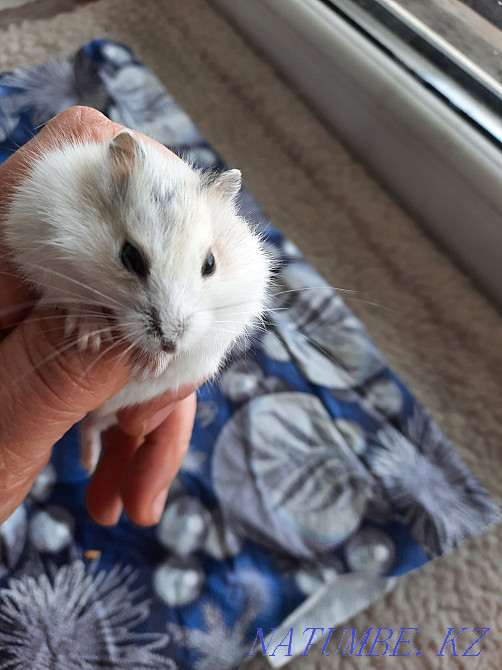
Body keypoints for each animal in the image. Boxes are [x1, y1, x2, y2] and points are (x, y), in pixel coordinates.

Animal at [4, 130, 271, 472]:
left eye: (210, 263)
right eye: (130, 257)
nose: (170, 344)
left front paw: (147, 367)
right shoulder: (36, 242)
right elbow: (69, 294)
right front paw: (92, 338)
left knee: (96, 423)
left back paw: (89, 461)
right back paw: (88, 463)